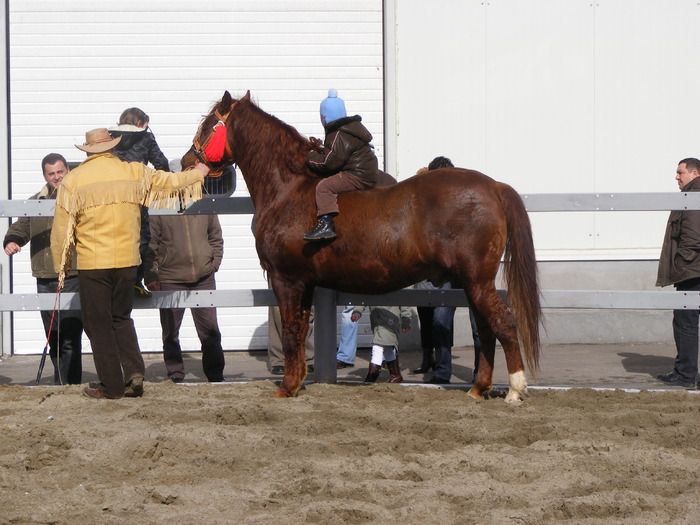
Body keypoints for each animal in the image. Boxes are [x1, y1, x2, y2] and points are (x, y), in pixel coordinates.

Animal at [182, 90, 540, 404]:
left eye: (208, 124)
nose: (186, 161)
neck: (290, 188)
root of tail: (493, 186)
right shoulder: (304, 284)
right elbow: (299, 328)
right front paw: (297, 382)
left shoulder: (287, 280)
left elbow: (291, 332)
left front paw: (286, 387)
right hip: (471, 283)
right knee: (487, 330)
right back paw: (479, 389)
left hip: (477, 281)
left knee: (504, 324)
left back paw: (514, 390)